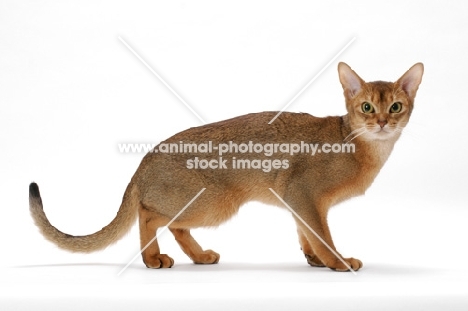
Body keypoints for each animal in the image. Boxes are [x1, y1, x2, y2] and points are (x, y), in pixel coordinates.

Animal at [30, 62, 424, 272]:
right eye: (367, 107)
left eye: (396, 106)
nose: (383, 123)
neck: (359, 146)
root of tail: (144, 161)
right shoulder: (304, 194)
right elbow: (321, 233)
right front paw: (338, 262)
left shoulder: (298, 200)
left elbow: (305, 233)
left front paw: (315, 259)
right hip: (216, 202)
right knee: (149, 215)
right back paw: (152, 258)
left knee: (174, 224)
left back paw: (199, 255)